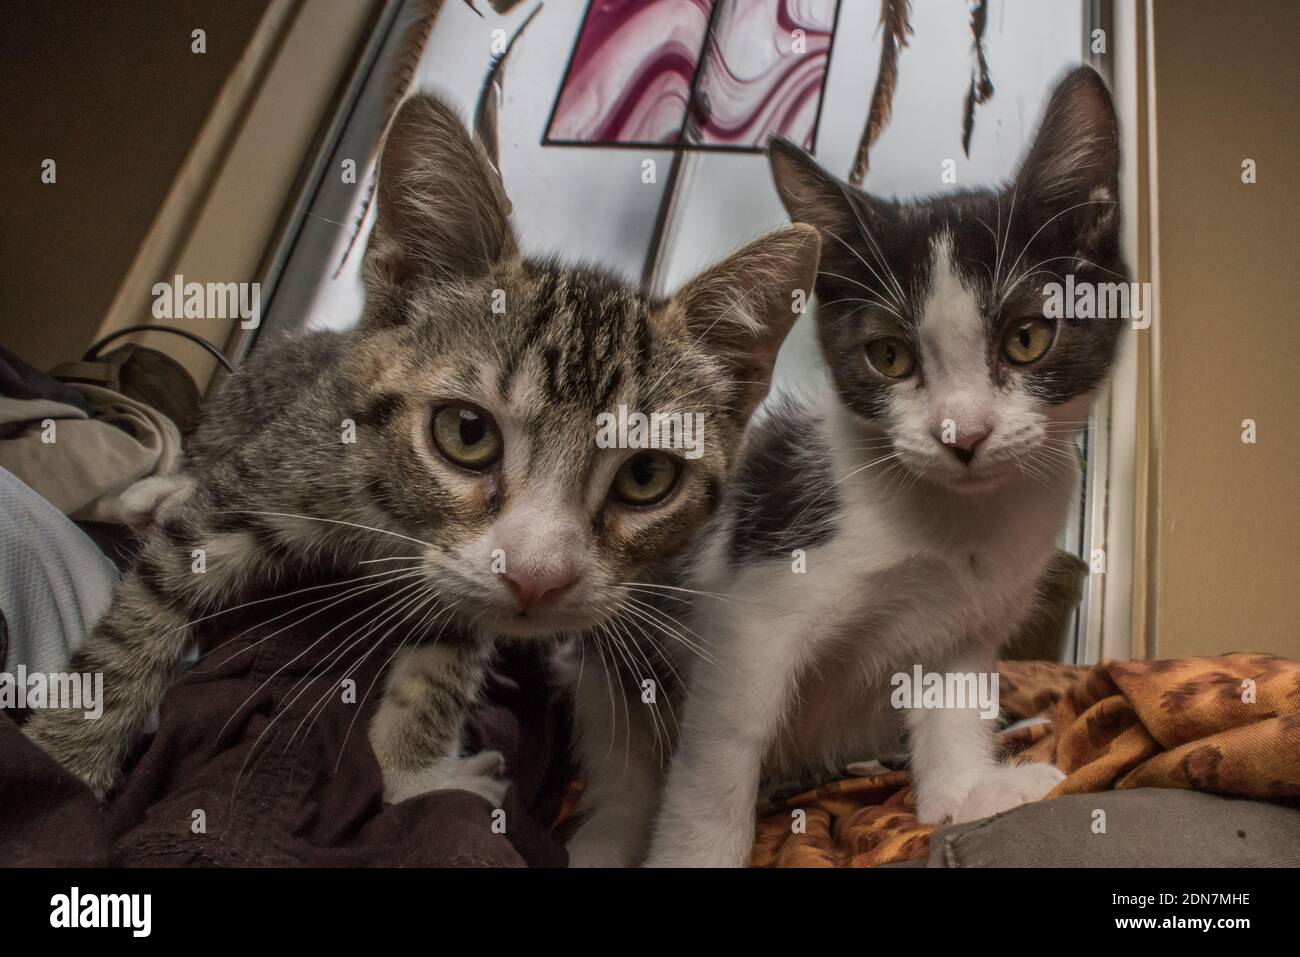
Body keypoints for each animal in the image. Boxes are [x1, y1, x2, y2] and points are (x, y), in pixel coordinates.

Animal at [20, 95, 816, 800]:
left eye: (647, 475)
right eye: (467, 433)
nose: (538, 581)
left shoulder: (467, 581)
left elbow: (442, 662)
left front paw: (413, 773)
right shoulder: (297, 463)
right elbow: (146, 612)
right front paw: (66, 760)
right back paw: (158, 490)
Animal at [572, 63, 1128, 863]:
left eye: (1028, 338)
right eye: (888, 356)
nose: (963, 435)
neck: (955, 517)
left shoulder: (966, 622)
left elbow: (953, 702)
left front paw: (965, 794)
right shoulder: (751, 614)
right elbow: (722, 748)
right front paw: (698, 850)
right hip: (605, 655)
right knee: (621, 759)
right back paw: (609, 831)